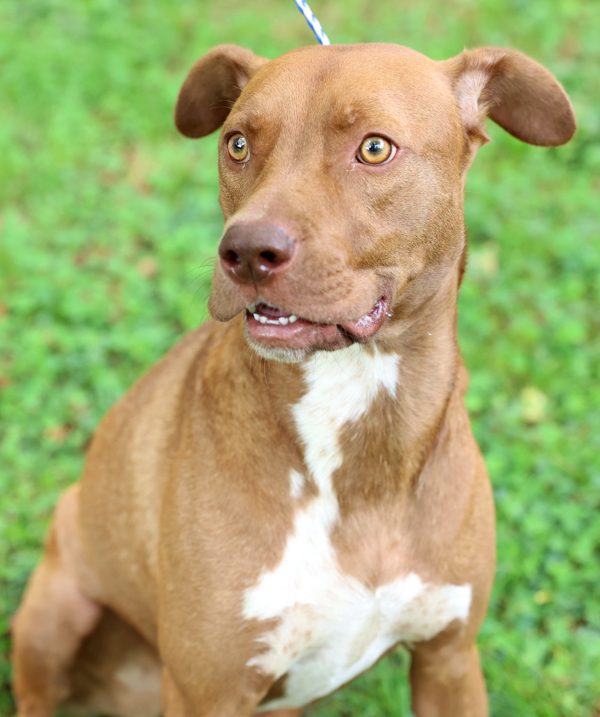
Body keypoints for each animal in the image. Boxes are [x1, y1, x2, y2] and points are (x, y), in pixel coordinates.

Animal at [11, 40, 576, 716]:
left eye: (375, 148)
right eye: (237, 144)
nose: (247, 252)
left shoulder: (450, 659)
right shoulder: (208, 691)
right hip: (54, 606)